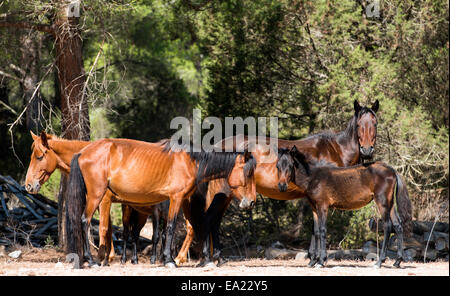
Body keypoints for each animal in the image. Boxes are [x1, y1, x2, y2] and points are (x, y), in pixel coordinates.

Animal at [66, 139, 256, 268]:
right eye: (248, 174)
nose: (252, 202)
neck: (191, 161)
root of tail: (82, 152)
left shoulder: (185, 201)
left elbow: (197, 226)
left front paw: (205, 260)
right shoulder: (176, 199)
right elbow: (170, 228)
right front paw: (169, 260)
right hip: (96, 196)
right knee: (85, 221)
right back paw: (92, 261)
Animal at [174, 99, 378, 266]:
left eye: (374, 123)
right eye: (359, 124)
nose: (367, 150)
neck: (333, 150)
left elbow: (315, 227)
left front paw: (313, 258)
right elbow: (316, 227)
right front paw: (315, 259)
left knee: (214, 221)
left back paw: (217, 258)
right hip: (223, 193)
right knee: (209, 218)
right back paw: (209, 259)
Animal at [280, 146, 414, 268]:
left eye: (290, 165)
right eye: (278, 166)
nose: (281, 186)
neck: (313, 177)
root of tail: (392, 170)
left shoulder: (323, 206)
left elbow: (322, 230)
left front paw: (321, 261)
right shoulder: (314, 207)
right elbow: (316, 231)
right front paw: (312, 261)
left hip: (382, 202)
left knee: (387, 226)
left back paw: (379, 262)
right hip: (390, 204)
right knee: (397, 226)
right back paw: (397, 262)